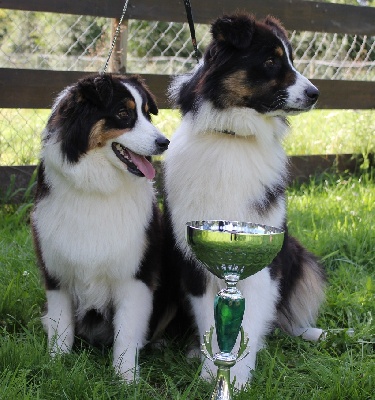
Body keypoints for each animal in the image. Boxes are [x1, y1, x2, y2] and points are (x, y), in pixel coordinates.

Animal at [32, 74, 170, 382]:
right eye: (123, 113)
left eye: (147, 113)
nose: (164, 142)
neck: (97, 187)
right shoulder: (56, 269)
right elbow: (61, 327)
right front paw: (56, 366)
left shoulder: (135, 274)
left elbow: (127, 331)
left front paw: (126, 378)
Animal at [164, 14, 326, 386]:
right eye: (270, 61)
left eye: (290, 59)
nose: (315, 93)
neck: (234, 136)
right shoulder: (193, 258)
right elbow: (209, 319)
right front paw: (213, 373)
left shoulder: (266, 254)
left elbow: (250, 319)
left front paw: (236, 376)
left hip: (299, 255)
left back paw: (310, 333)